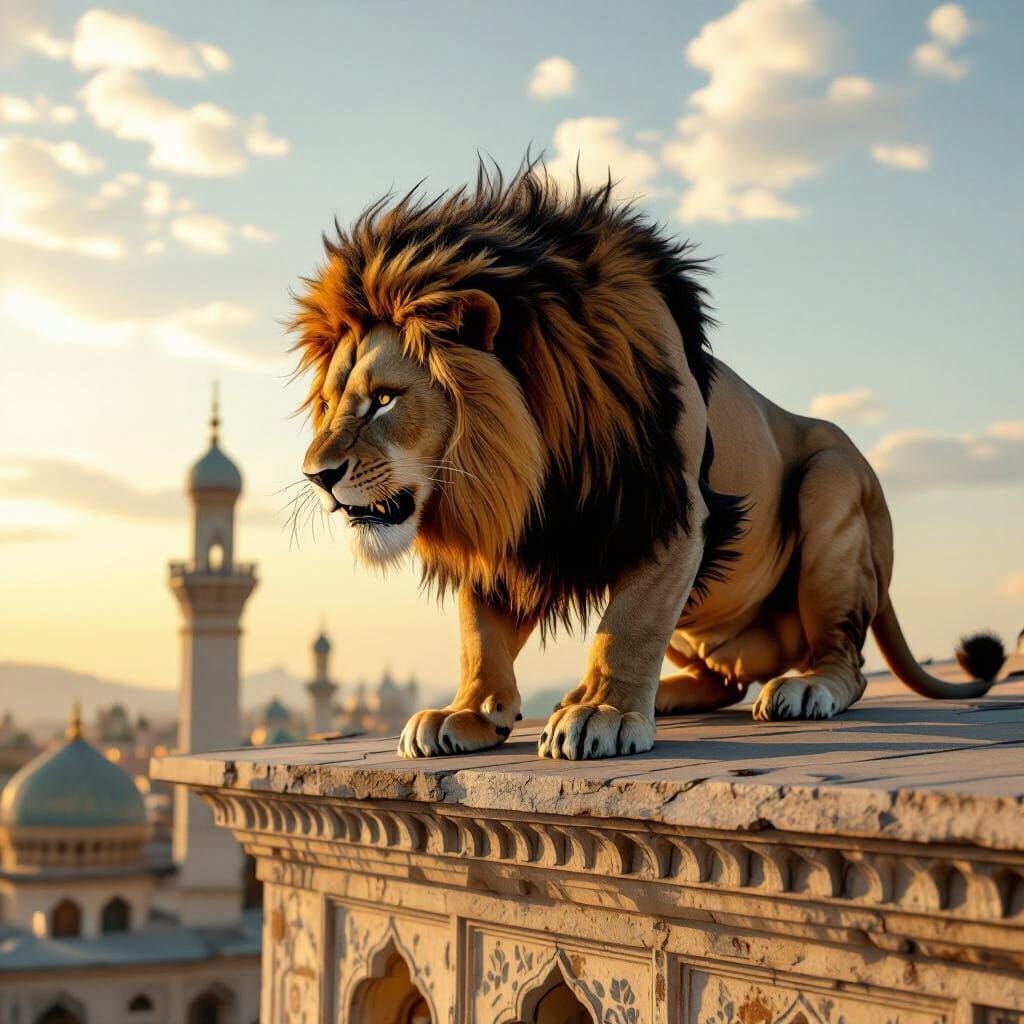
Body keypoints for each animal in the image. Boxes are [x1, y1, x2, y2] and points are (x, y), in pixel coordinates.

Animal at [292, 163, 1002, 761]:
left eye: (385, 399)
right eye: (327, 405)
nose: (316, 476)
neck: (520, 462)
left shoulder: (672, 508)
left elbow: (626, 625)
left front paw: (601, 713)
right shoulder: (503, 529)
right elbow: (479, 633)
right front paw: (467, 712)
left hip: (829, 484)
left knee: (845, 662)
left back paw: (803, 688)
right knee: (722, 679)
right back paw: (667, 693)